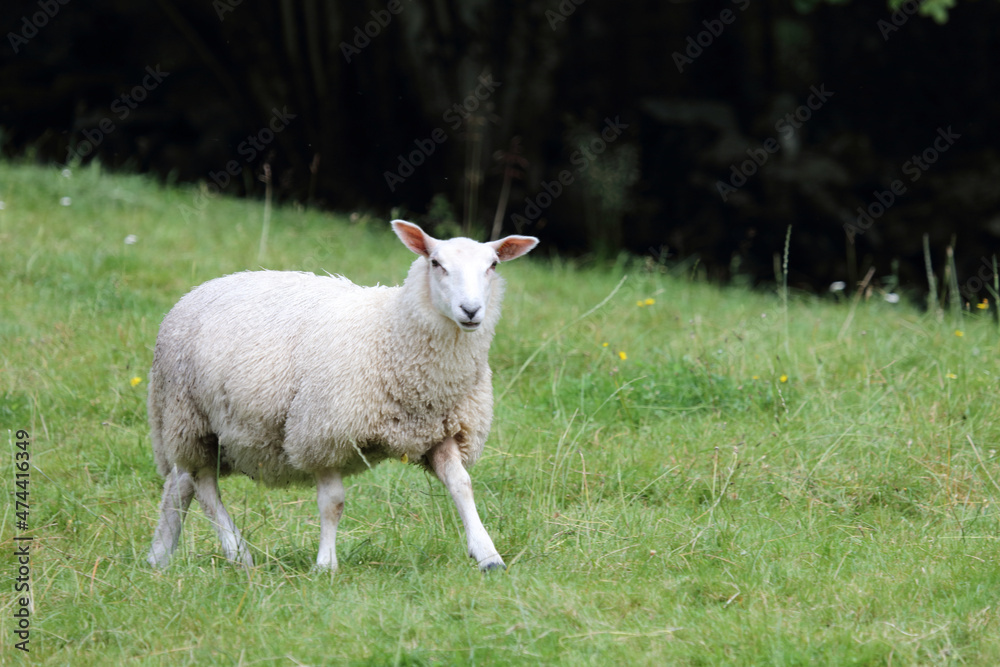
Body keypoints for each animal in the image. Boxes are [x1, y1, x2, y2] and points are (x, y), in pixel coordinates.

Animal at [146, 220, 538, 572]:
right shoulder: (322, 433)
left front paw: (488, 556)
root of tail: (195, 292)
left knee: (180, 484)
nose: (471, 311)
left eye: (493, 265)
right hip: (189, 417)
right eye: (436, 263)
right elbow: (332, 503)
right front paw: (325, 565)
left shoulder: (441, 430)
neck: (390, 334)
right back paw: (238, 555)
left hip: (201, 430)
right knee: (205, 489)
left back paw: (159, 557)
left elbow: (462, 486)